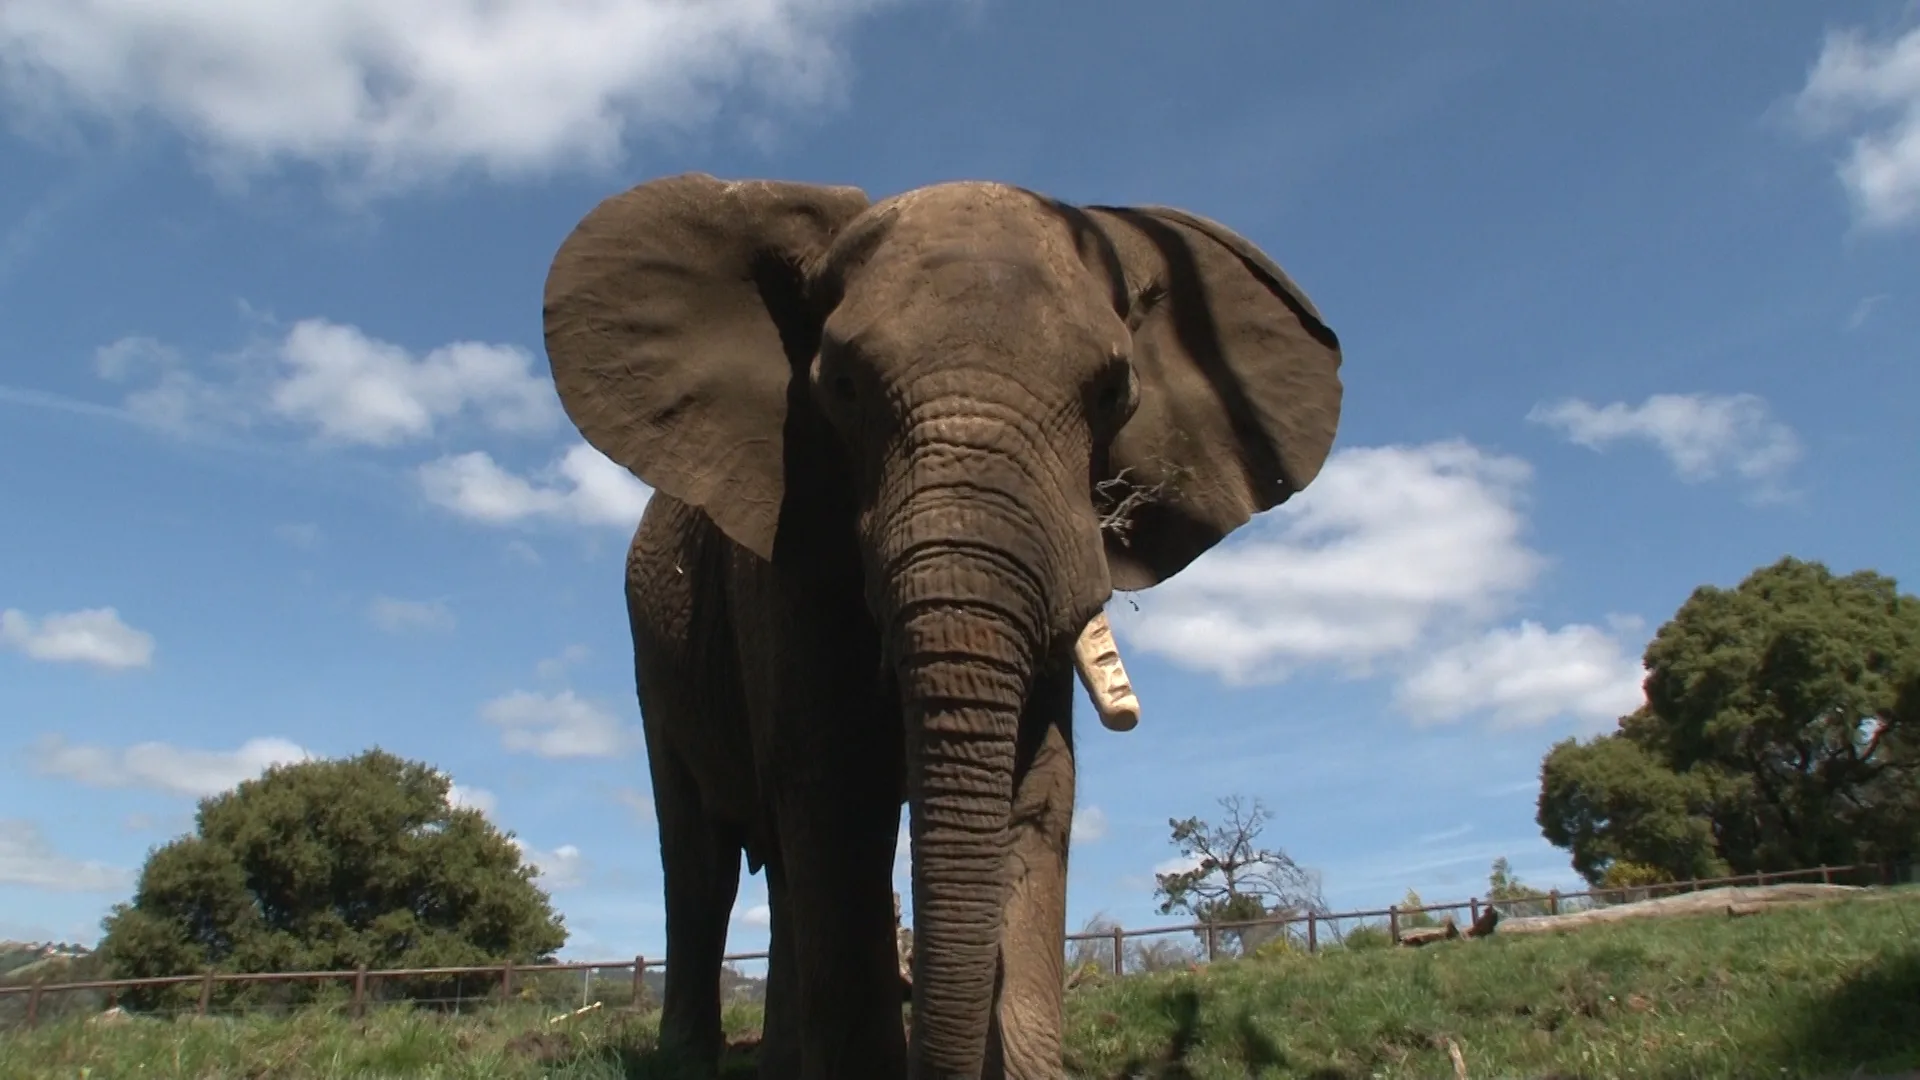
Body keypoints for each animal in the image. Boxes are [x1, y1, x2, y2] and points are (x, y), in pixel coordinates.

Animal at [541, 172, 1343, 1079]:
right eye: (841, 387)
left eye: (1115, 393)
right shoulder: (784, 552)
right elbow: (833, 783)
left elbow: (1039, 792)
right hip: (653, 641)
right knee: (700, 855)